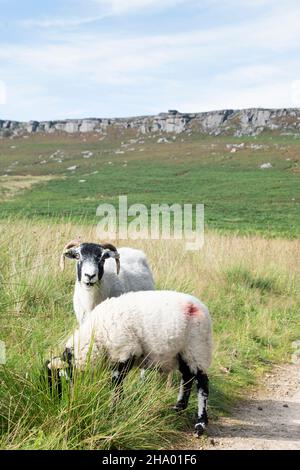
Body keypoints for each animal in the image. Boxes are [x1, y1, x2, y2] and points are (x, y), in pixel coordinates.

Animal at [46, 290, 211, 436]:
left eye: (59, 381)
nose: (59, 404)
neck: (96, 337)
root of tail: (201, 306)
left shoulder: (124, 352)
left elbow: (116, 386)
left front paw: (112, 412)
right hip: (184, 354)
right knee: (187, 377)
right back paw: (178, 408)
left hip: (197, 348)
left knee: (202, 384)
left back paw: (200, 424)